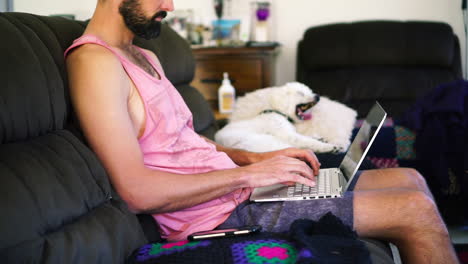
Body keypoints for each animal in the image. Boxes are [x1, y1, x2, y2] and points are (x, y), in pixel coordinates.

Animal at [214, 82, 356, 153]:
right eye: (300, 93)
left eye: (310, 91)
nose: (317, 96)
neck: (278, 112)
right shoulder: (288, 135)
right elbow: (308, 141)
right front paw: (329, 146)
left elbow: (308, 137)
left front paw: (319, 137)